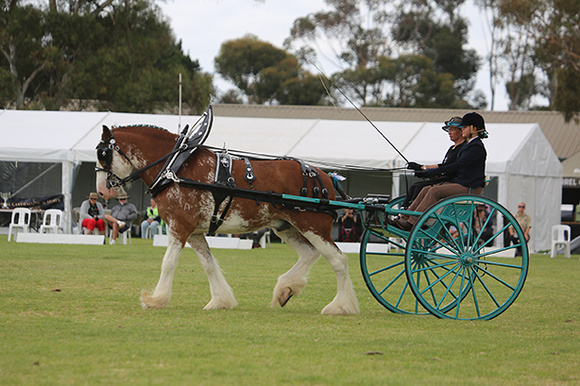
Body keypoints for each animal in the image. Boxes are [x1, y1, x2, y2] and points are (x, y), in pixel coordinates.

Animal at [95, 125, 358, 316]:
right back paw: (286, 288)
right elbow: (208, 264)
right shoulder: (195, 232)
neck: (175, 167)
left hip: (313, 226)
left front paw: (156, 299)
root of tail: (327, 176)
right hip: (286, 227)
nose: (101, 191)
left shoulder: (179, 226)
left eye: (103, 154)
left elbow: (168, 262)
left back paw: (340, 306)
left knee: (338, 260)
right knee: (309, 253)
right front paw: (220, 300)